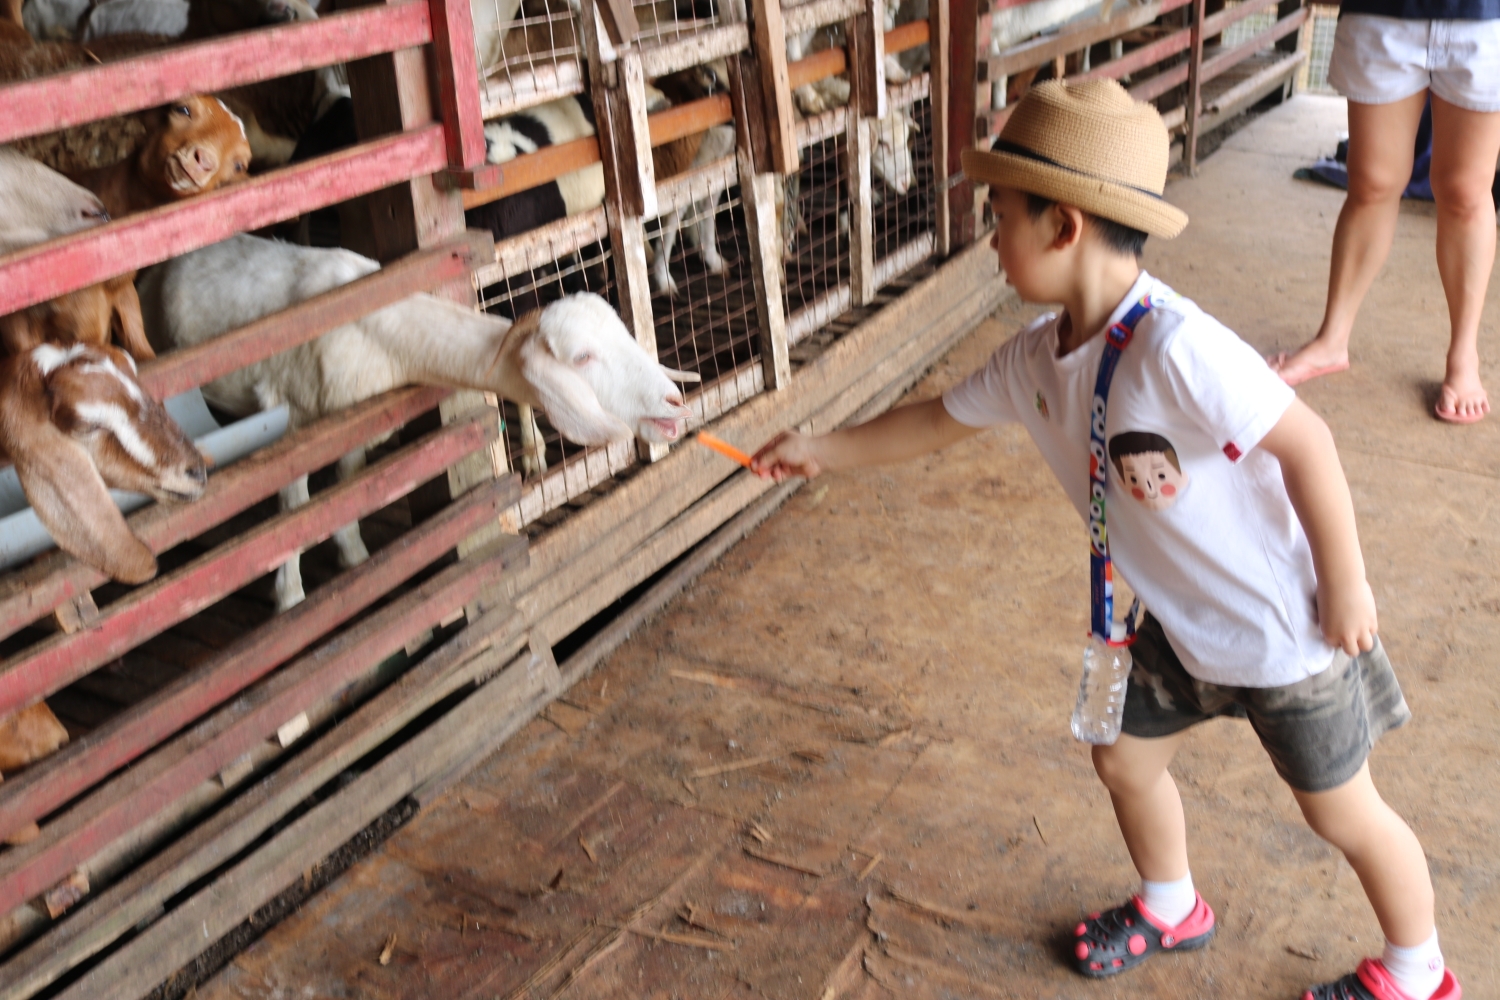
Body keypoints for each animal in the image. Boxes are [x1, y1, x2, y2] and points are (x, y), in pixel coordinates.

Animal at [138, 236, 699, 611]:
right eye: (581, 358)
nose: (674, 401)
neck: (376, 326)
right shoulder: (291, 419)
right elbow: (294, 513)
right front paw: (291, 596)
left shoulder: (351, 424)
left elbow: (347, 492)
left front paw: (355, 558)